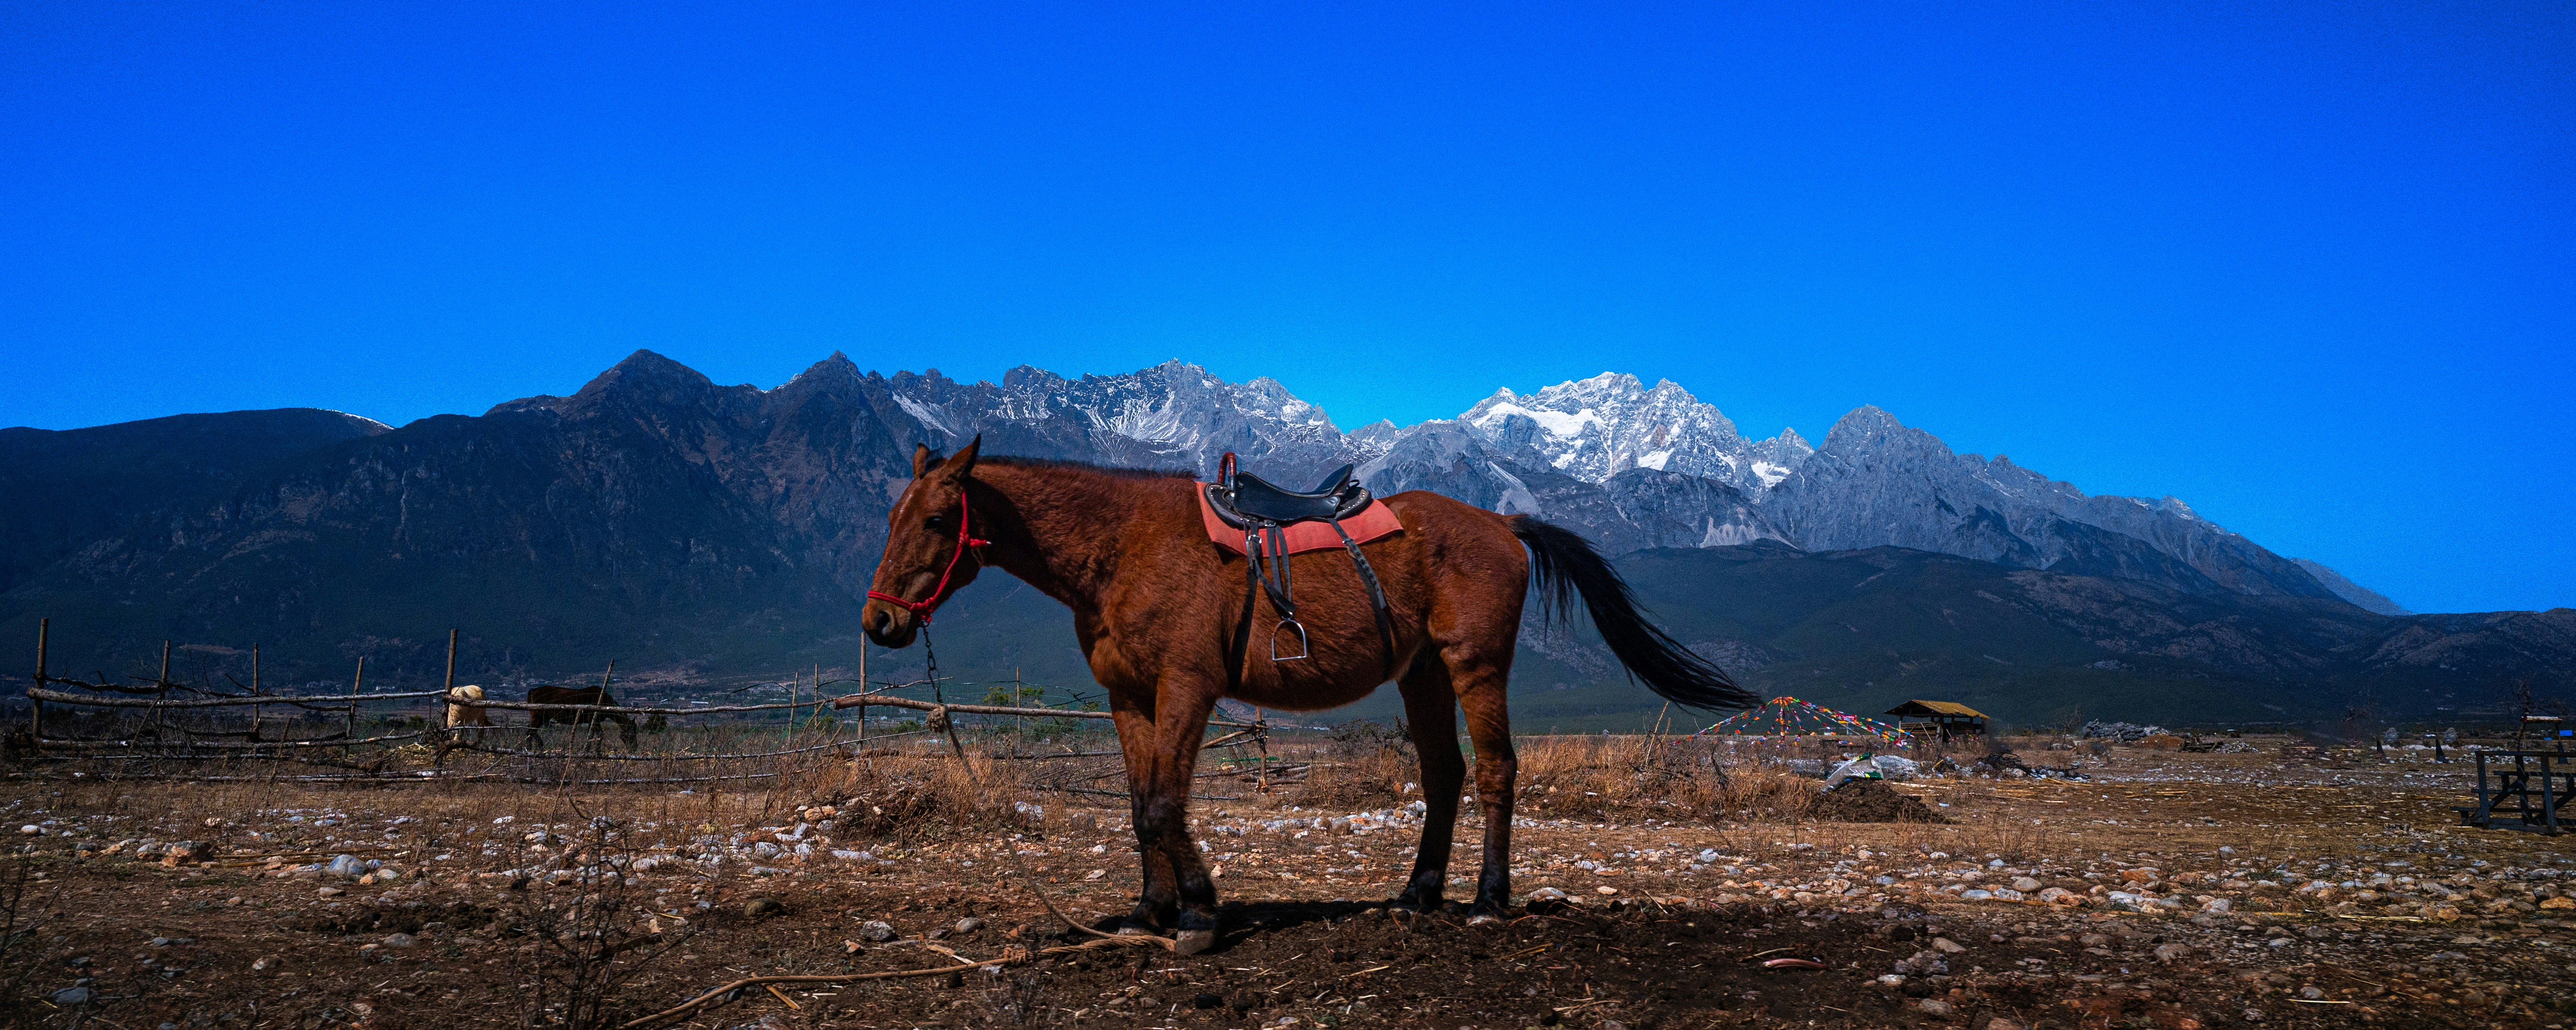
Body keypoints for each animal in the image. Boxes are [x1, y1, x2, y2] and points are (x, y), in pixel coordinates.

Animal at [523, 685, 639, 751]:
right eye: (632, 734)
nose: (634, 749)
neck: (604, 702)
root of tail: (533, 691)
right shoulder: (595, 721)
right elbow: (600, 735)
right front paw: (597, 752)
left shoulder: (591, 722)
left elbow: (590, 735)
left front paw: (586, 750)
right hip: (538, 717)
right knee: (531, 731)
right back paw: (535, 748)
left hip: (541, 718)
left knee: (531, 731)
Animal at [861, 437, 1754, 954]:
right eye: (892, 513)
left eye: (937, 518)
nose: (879, 621)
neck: (1123, 547)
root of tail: (1503, 523)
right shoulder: (1129, 696)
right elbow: (1140, 803)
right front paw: (1150, 910)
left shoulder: (1188, 686)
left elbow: (1166, 802)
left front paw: (1198, 913)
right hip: (1422, 674)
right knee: (1444, 776)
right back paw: (1416, 895)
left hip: (1474, 665)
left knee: (1498, 769)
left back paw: (1486, 901)